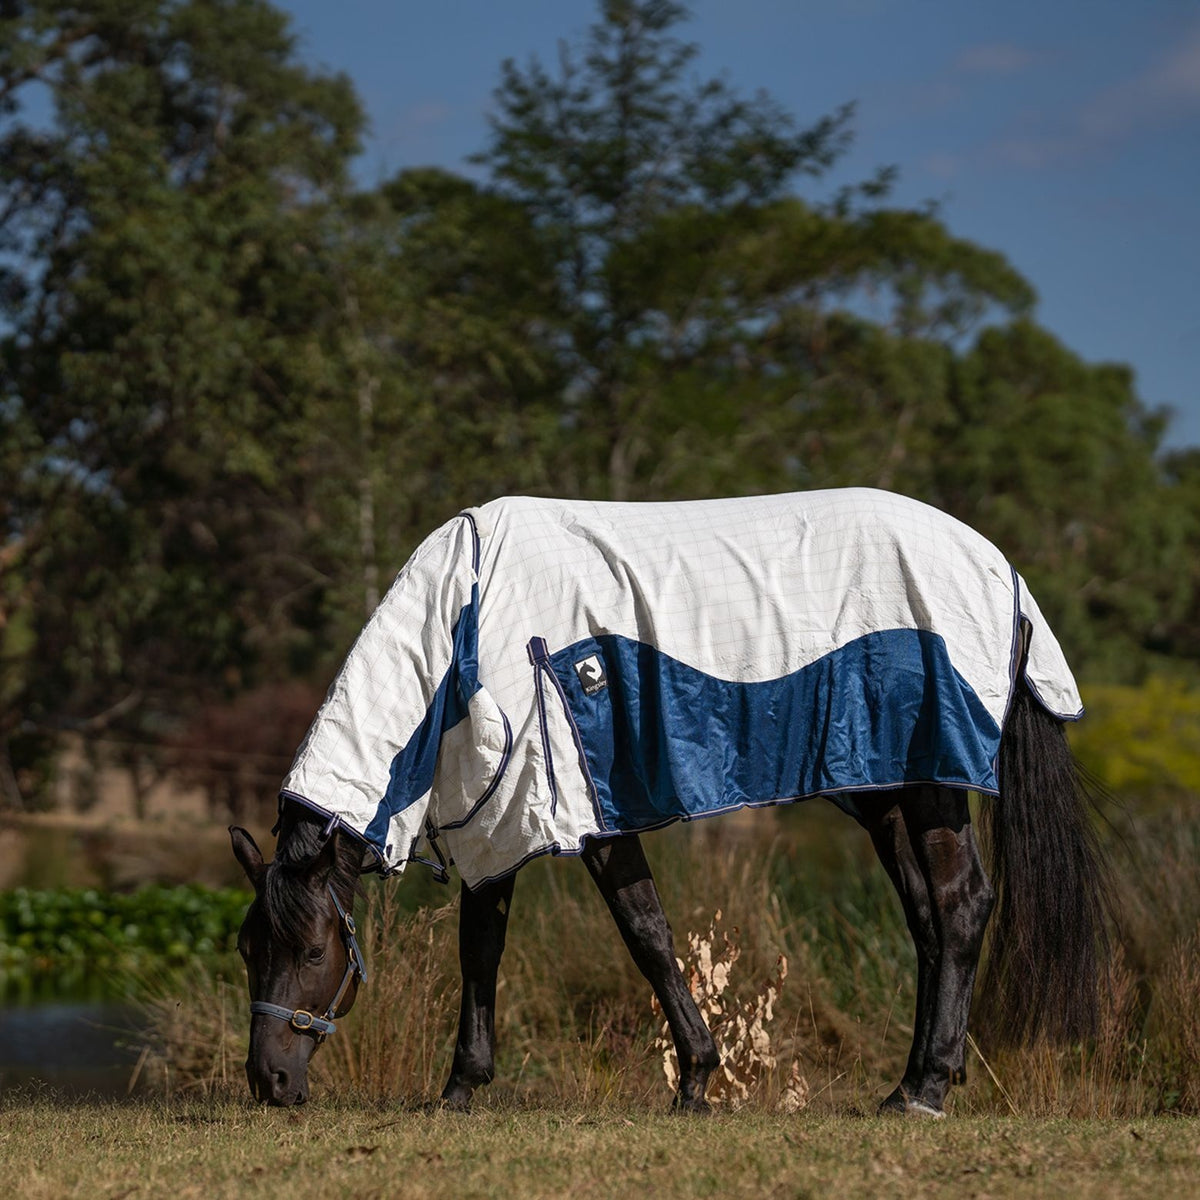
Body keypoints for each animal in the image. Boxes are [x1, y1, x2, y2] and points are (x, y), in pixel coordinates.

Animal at [230, 489, 1111, 1113]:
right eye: (247, 948)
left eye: (312, 952)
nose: (269, 1085)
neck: (464, 624)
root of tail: (1003, 572)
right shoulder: (496, 816)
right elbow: (482, 947)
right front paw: (459, 1089)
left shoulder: (585, 814)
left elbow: (646, 935)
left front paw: (695, 1080)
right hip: (887, 792)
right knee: (927, 920)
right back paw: (910, 1080)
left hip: (932, 790)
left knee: (961, 908)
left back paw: (926, 1089)